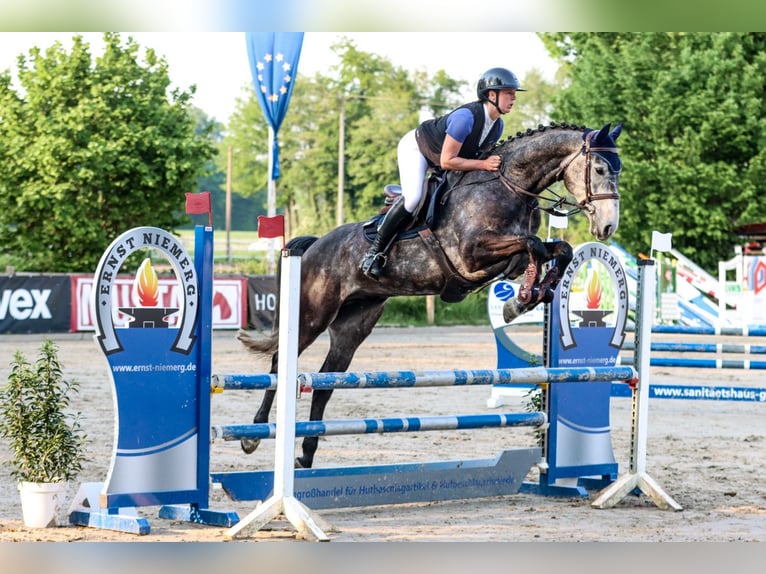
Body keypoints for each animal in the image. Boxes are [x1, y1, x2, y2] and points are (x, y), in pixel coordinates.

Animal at [239, 121, 623, 468]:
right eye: (600, 169)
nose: (607, 227)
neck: (508, 186)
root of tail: (314, 245)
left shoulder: (504, 257)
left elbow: (557, 249)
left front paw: (529, 295)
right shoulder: (471, 255)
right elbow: (534, 246)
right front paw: (521, 299)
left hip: (353, 325)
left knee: (325, 383)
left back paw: (306, 454)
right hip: (312, 315)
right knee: (279, 363)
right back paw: (252, 434)